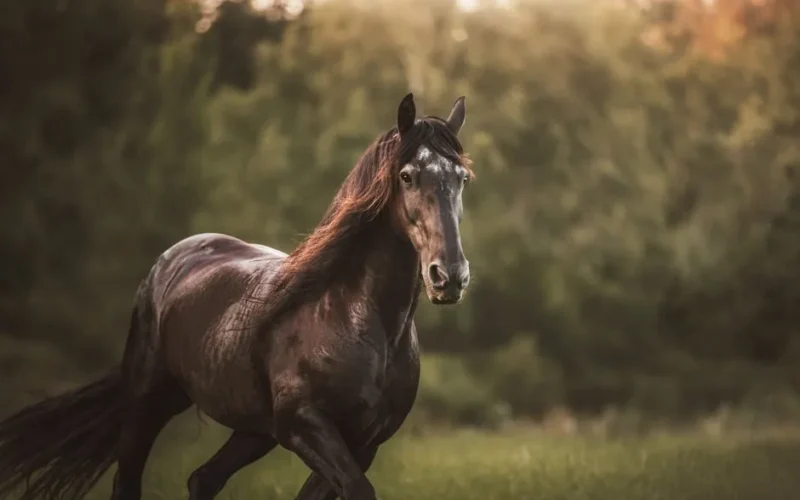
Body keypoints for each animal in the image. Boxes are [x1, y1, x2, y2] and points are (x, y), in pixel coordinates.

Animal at [0, 93, 473, 500]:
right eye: (407, 175)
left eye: (462, 177)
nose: (449, 276)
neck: (355, 317)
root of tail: (173, 258)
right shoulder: (304, 425)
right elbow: (358, 490)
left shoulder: (364, 442)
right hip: (147, 402)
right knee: (129, 481)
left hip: (252, 430)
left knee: (202, 479)